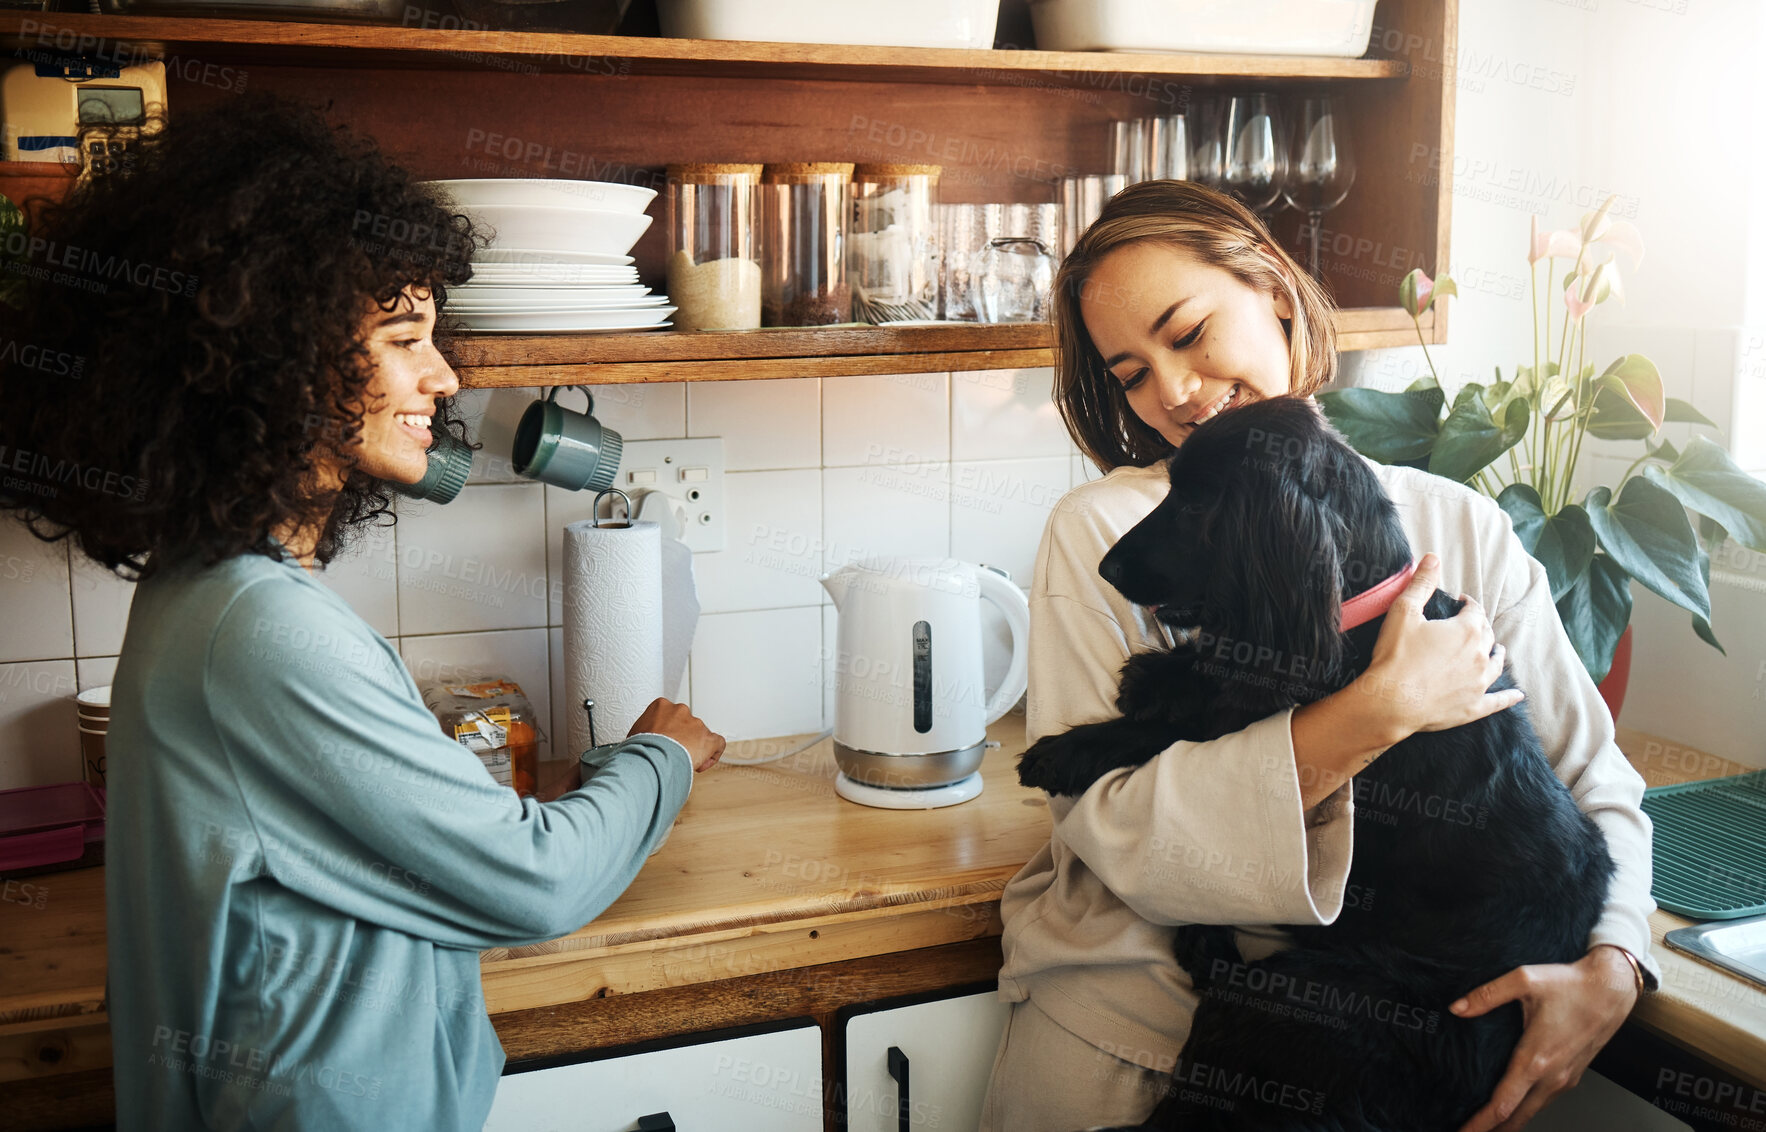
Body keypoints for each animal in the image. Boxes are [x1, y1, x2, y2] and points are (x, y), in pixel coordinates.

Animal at [1024, 397, 1617, 1130]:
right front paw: (1158, 676)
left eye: (1196, 503)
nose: (1107, 570)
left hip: (1305, 1000)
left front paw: (1066, 749)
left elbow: (1170, 730)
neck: (1361, 612)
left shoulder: (1268, 710)